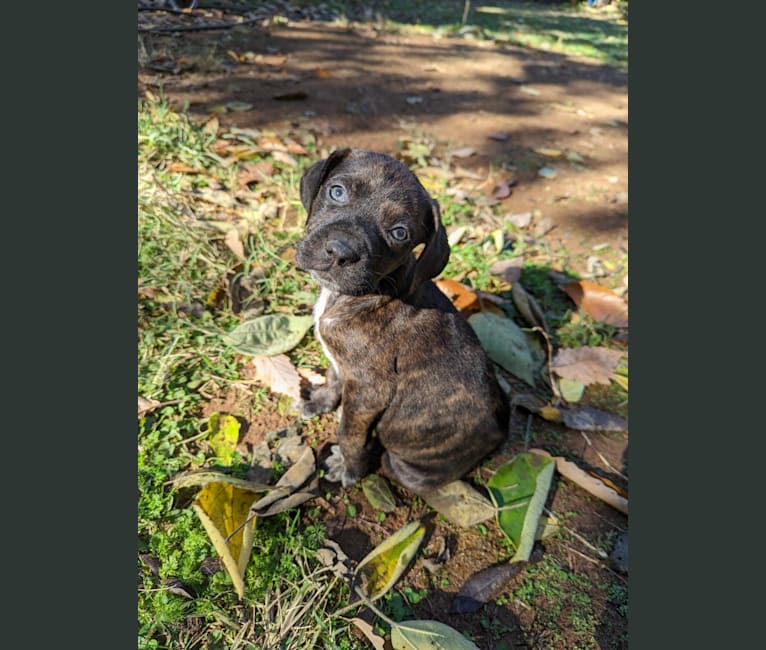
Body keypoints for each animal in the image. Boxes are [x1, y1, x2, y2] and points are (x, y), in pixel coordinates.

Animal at [296, 148, 510, 492]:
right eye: (336, 192)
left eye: (399, 233)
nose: (340, 252)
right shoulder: (345, 366)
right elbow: (332, 378)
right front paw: (318, 401)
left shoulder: (369, 390)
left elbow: (349, 433)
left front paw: (349, 468)